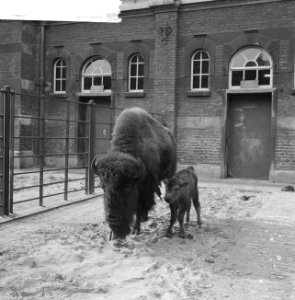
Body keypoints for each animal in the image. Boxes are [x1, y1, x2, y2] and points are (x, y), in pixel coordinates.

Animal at [91, 106, 177, 238]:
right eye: (102, 186)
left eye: (127, 187)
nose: (112, 218)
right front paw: (112, 235)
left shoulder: (145, 188)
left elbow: (139, 207)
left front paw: (136, 229)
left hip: (169, 174)